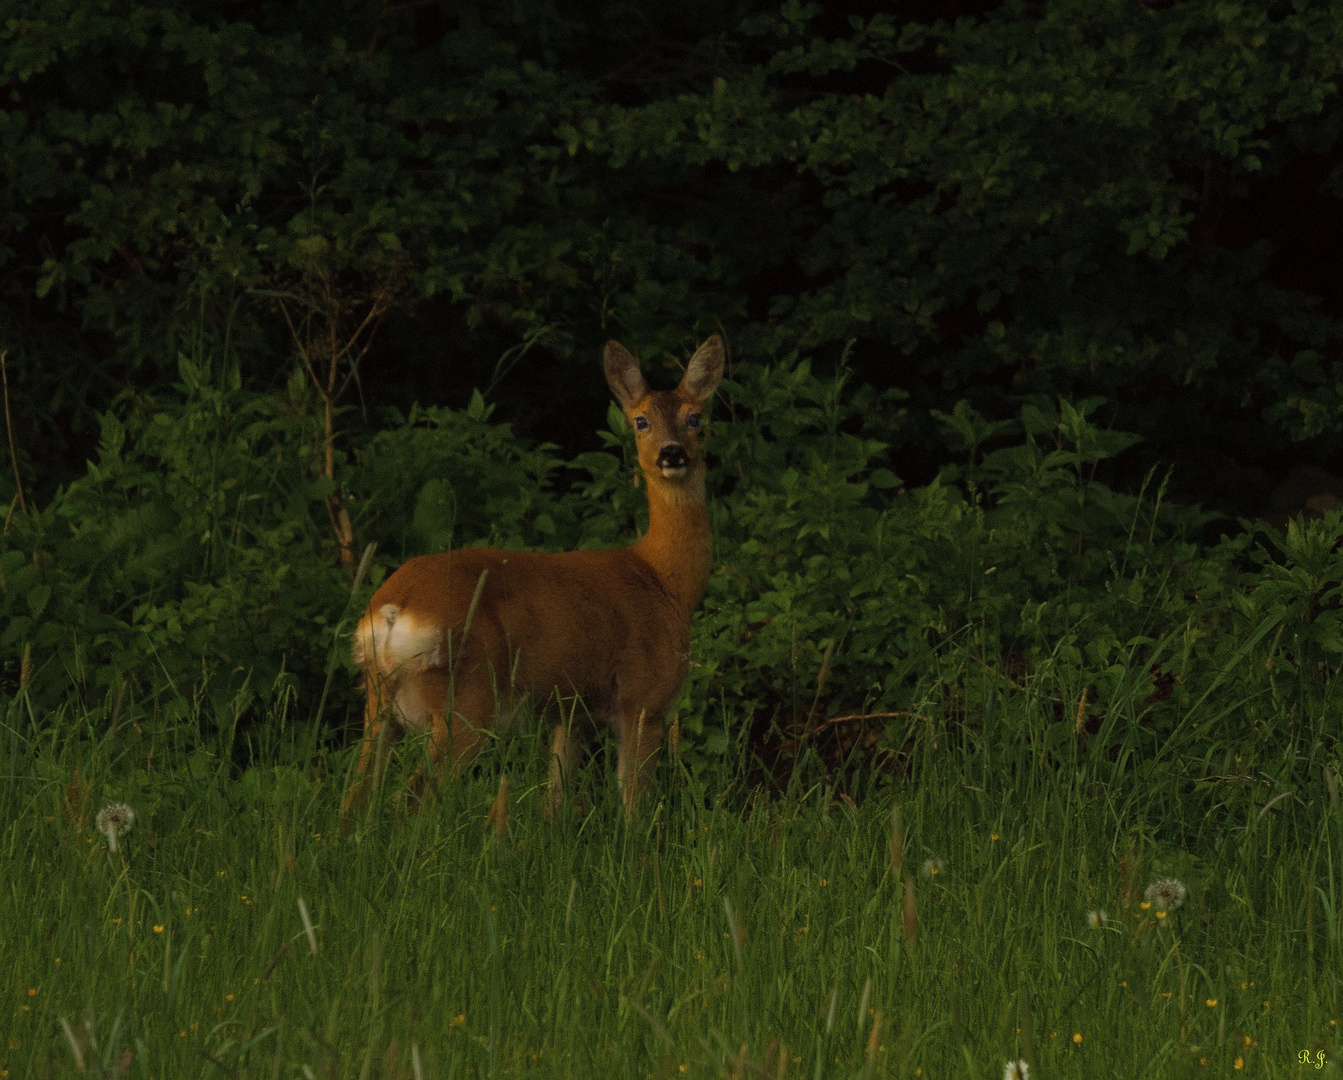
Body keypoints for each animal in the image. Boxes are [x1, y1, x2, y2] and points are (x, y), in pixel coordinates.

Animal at [343, 333, 725, 822]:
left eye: (696, 417)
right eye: (641, 421)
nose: (672, 453)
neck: (664, 578)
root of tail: (394, 609)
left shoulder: (572, 712)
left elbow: (554, 802)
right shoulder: (644, 698)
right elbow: (632, 809)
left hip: (378, 703)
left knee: (355, 795)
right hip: (465, 703)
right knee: (412, 799)